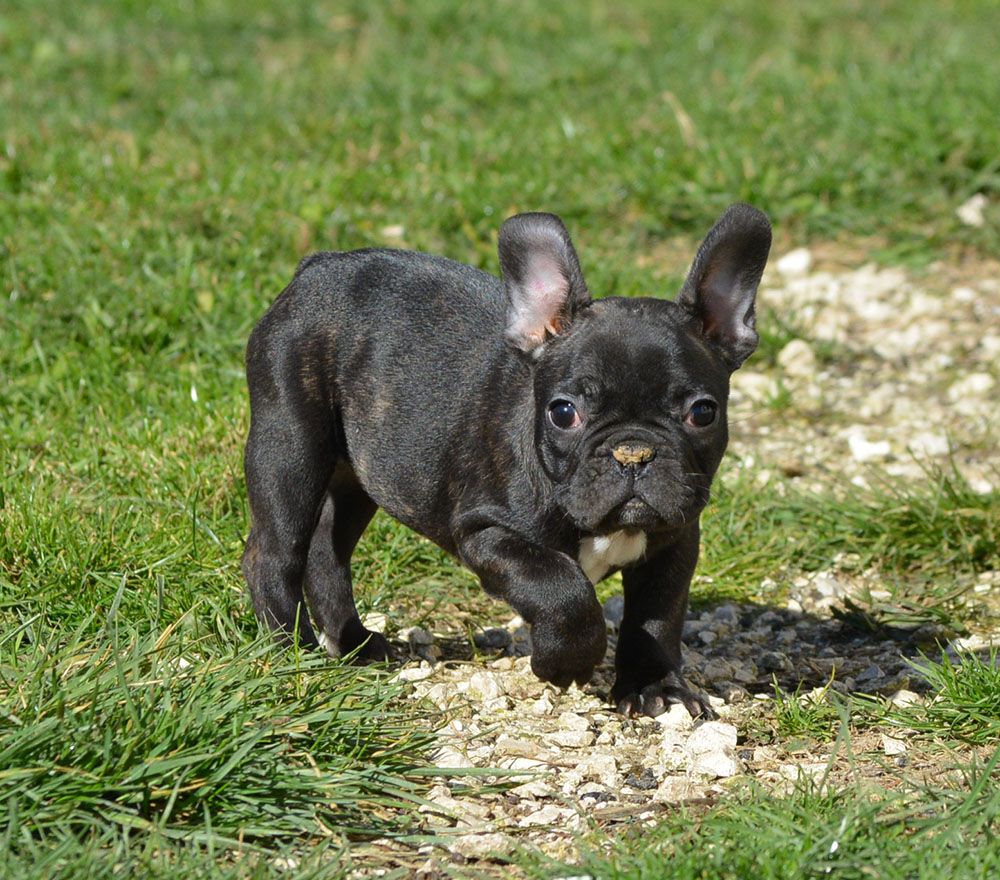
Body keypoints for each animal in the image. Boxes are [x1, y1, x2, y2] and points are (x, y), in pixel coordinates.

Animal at [242, 204, 770, 718]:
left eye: (703, 413)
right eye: (563, 412)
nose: (633, 451)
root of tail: (318, 267)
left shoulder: (674, 542)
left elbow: (657, 618)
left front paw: (654, 687)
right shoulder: (487, 534)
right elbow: (564, 588)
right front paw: (564, 664)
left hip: (356, 476)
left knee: (327, 551)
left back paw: (357, 644)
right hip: (289, 444)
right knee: (273, 554)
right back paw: (296, 655)